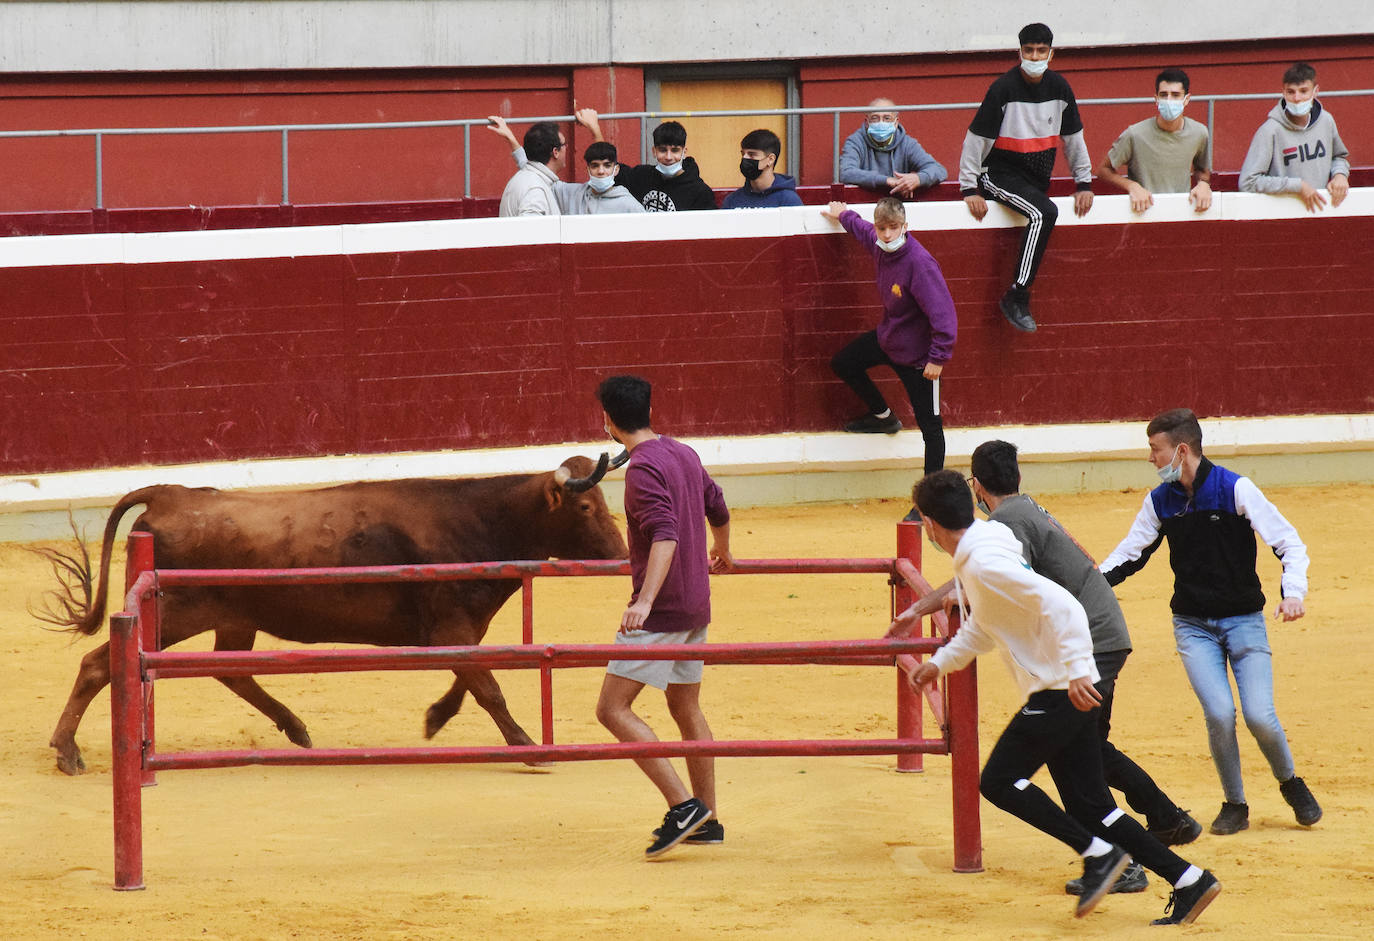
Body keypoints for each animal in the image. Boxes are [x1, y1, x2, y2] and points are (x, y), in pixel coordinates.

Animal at [37, 453, 629, 769]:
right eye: (584, 506)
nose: (624, 555)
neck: (482, 519)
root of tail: (170, 493)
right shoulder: (451, 625)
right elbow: (487, 686)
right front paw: (529, 747)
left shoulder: (456, 629)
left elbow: (472, 679)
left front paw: (436, 718)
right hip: (174, 614)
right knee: (98, 664)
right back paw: (66, 750)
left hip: (232, 618)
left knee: (232, 668)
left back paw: (296, 729)